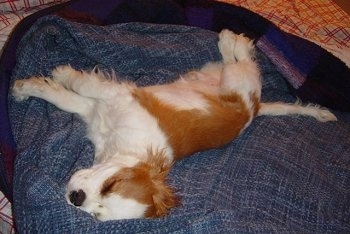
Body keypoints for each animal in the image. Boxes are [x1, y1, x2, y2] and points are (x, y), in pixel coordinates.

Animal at [12, 29, 338, 221]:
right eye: (110, 184)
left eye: (96, 215)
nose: (76, 198)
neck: (126, 146)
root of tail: (254, 110)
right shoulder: (102, 106)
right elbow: (66, 94)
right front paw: (33, 85)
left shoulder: (112, 97)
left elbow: (76, 89)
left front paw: (53, 76)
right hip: (223, 78)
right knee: (240, 62)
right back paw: (231, 40)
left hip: (237, 83)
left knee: (244, 62)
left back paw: (232, 40)